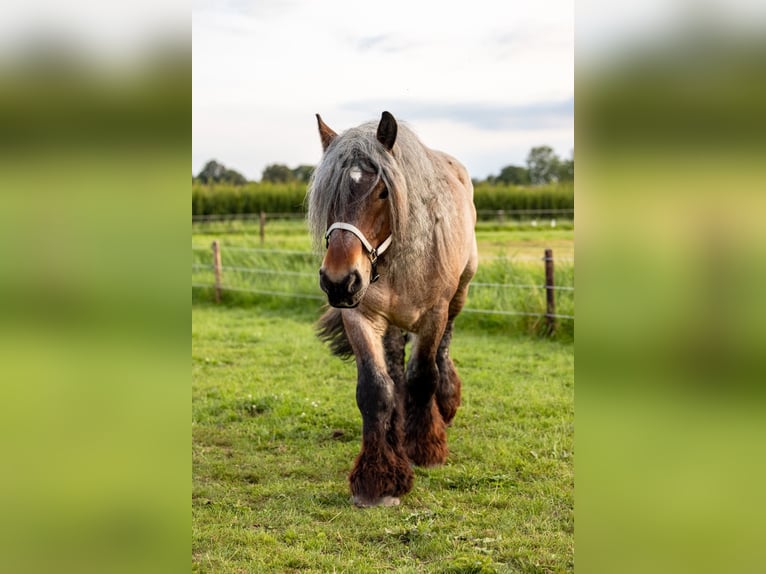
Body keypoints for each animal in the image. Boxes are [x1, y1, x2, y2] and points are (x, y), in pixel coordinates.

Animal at [304, 112, 474, 508]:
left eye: (383, 192)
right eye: (329, 194)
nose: (338, 281)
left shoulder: (433, 315)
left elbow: (422, 376)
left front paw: (426, 448)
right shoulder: (360, 316)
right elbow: (375, 389)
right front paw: (378, 479)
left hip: (459, 294)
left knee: (443, 349)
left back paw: (445, 403)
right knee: (395, 367)